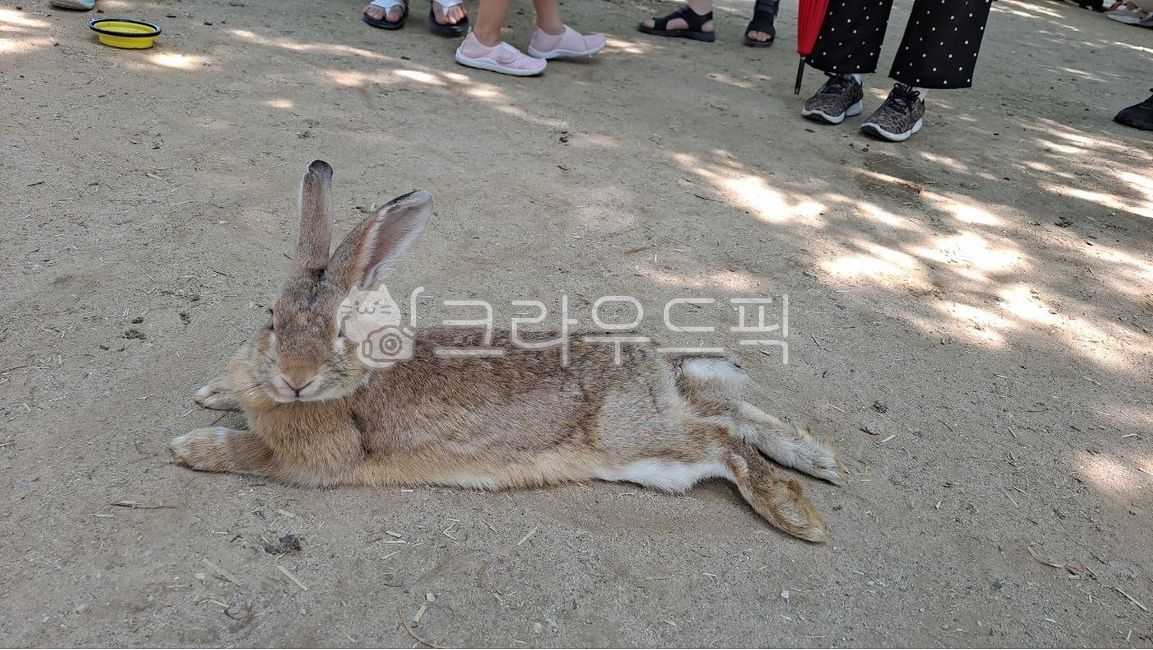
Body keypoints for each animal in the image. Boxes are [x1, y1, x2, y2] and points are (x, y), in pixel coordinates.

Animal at [171, 160, 842, 543]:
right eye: (271, 318)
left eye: (340, 331)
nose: (296, 380)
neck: (355, 379)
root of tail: (650, 364)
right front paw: (211, 393)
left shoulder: (312, 460)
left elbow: (251, 453)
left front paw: (190, 447)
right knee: (728, 411)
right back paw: (821, 458)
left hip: (640, 445)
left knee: (722, 441)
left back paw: (798, 515)